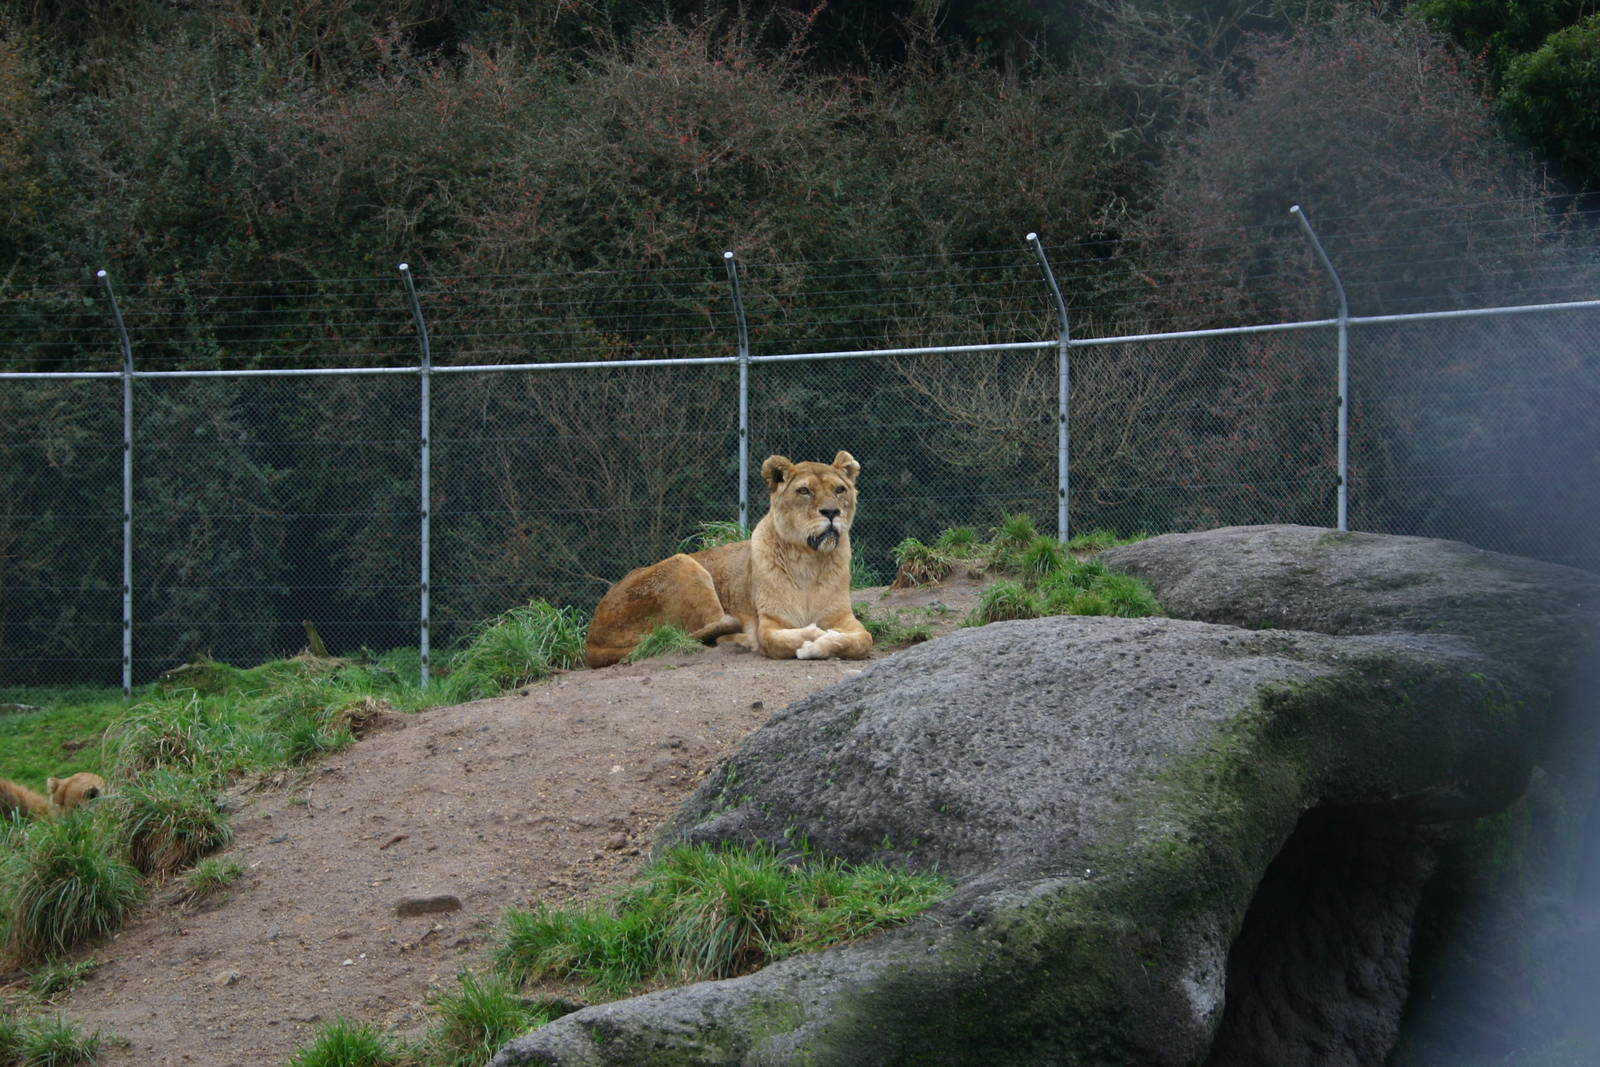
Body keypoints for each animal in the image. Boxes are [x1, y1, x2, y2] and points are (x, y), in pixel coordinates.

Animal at [585, 451, 874, 668]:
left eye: (840, 489)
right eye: (804, 491)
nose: (832, 512)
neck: (810, 562)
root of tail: (591, 638)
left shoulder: (843, 618)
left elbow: (863, 640)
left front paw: (824, 642)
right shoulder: (770, 622)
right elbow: (776, 641)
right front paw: (814, 636)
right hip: (685, 564)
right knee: (699, 634)